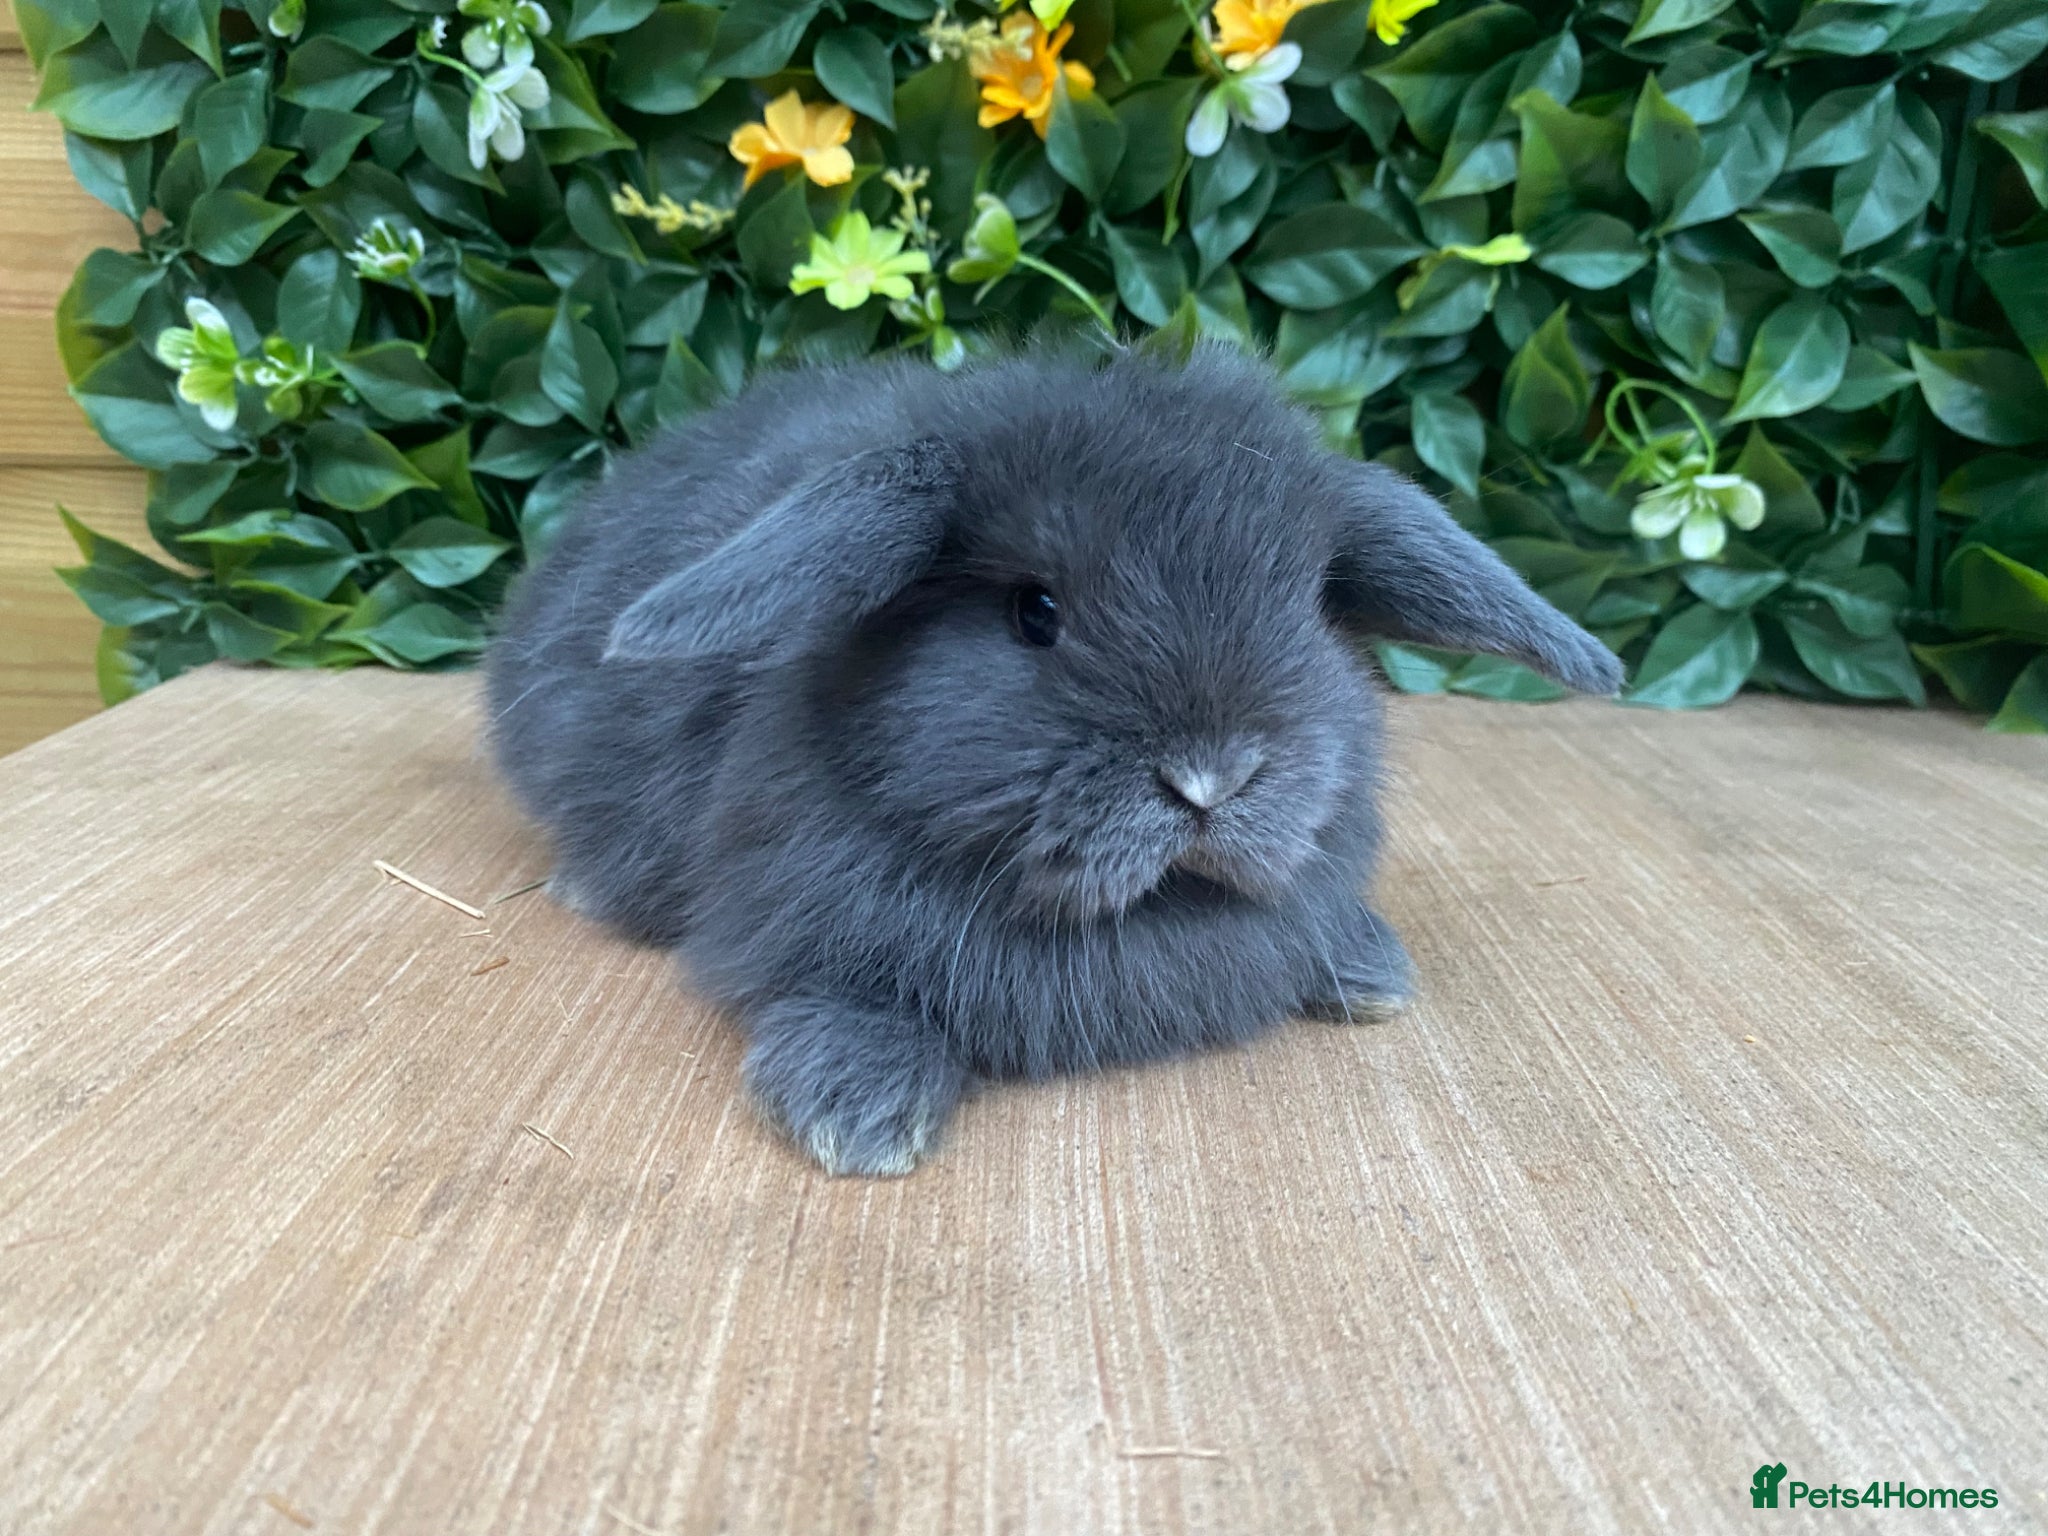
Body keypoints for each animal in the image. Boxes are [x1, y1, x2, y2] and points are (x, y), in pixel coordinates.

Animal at [485, 344, 1621, 1176]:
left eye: (1306, 608)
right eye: (1034, 612)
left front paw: (1364, 965)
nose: (1210, 780)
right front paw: (855, 1115)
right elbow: (839, 995)